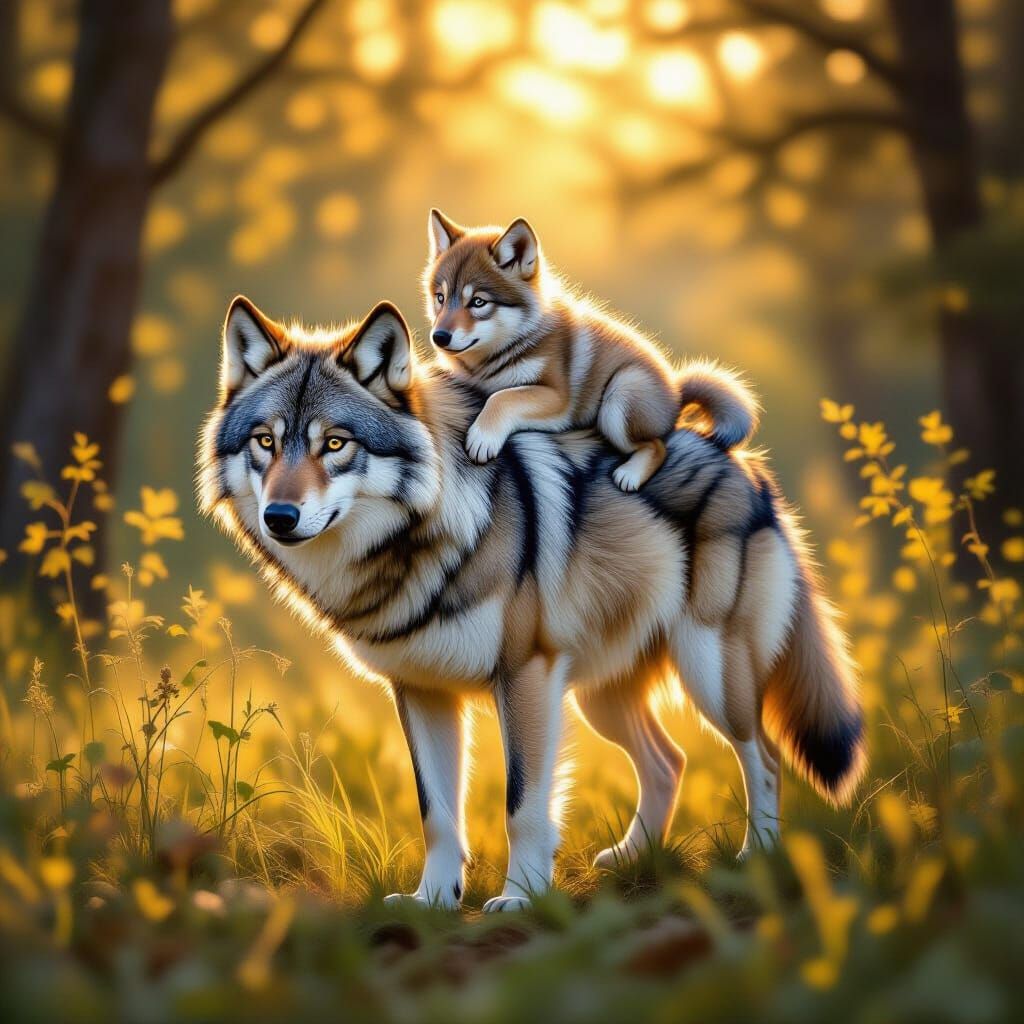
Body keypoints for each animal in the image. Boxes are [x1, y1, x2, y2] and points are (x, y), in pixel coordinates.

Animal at [199, 295, 865, 912]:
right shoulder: (420, 691)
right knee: (669, 762)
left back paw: (759, 858)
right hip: (601, 700)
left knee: (766, 758)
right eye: (265, 441)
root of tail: (746, 465)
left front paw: (520, 898)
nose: (279, 516)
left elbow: (522, 804)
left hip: (710, 678)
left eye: (335, 443)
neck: (428, 538)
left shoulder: (523, 677)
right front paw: (432, 901)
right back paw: (633, 861)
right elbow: (437, 814)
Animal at [423, 210, 758, 492]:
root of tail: (675, 391)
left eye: (478, 302)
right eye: (441, 298)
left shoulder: (557, 397)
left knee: (658, 445)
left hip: (621, 396)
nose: (439, 336)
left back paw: (630, 475)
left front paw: (483, 437)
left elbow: (502, 397)